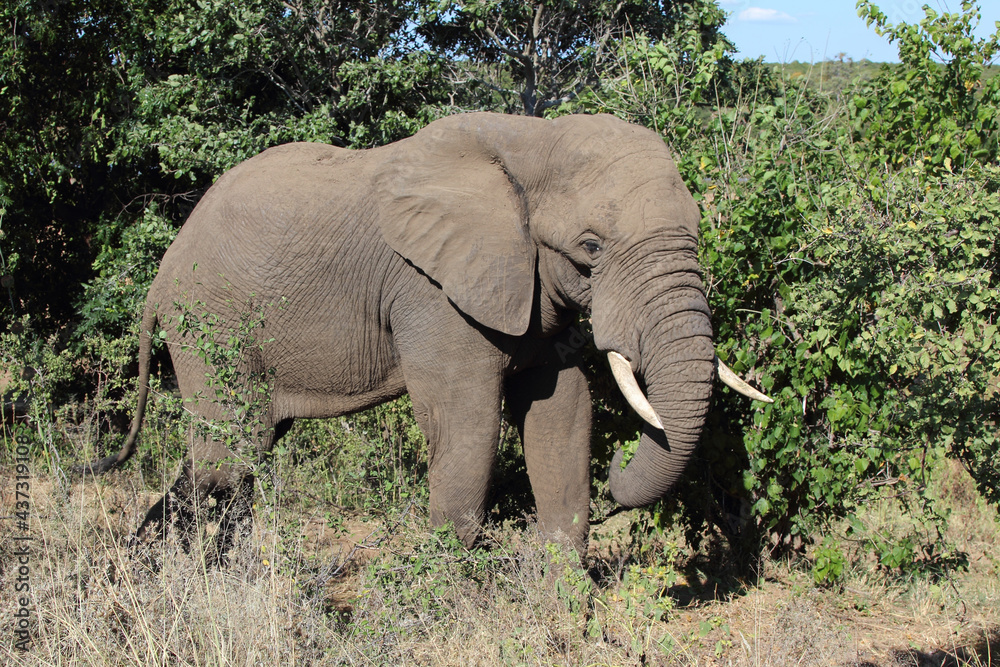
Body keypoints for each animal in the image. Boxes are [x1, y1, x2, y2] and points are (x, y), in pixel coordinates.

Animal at [88, 112, 772, 556]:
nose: (618, 471)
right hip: (210, 321)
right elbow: (470, 422)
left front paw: (560, 609)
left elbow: (561, 409)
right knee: (228, 459)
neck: (534, 138)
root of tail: (160, 276)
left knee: (233, 457)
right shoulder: (431, 292)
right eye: (590, 247)